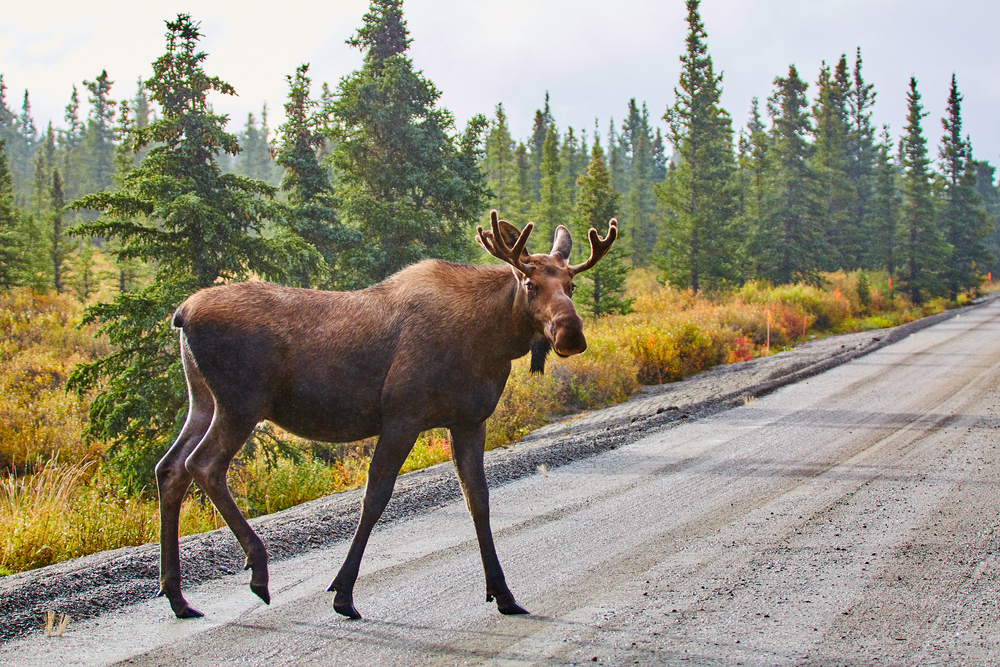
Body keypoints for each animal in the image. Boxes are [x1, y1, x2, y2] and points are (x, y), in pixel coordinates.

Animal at [156, 211, 616, 620]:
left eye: (572, 283)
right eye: (530, 282)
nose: (571, 333)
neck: (491, 341)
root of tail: (181, 314)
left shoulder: (469, 420)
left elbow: (478, 500)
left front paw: (503, 593)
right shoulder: (402, 415)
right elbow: (375, 497)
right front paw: (343, 594)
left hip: (203, 401)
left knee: (170, 468)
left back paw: (178, 597)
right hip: (241, 403)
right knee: (203, 465)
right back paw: (257, 570)